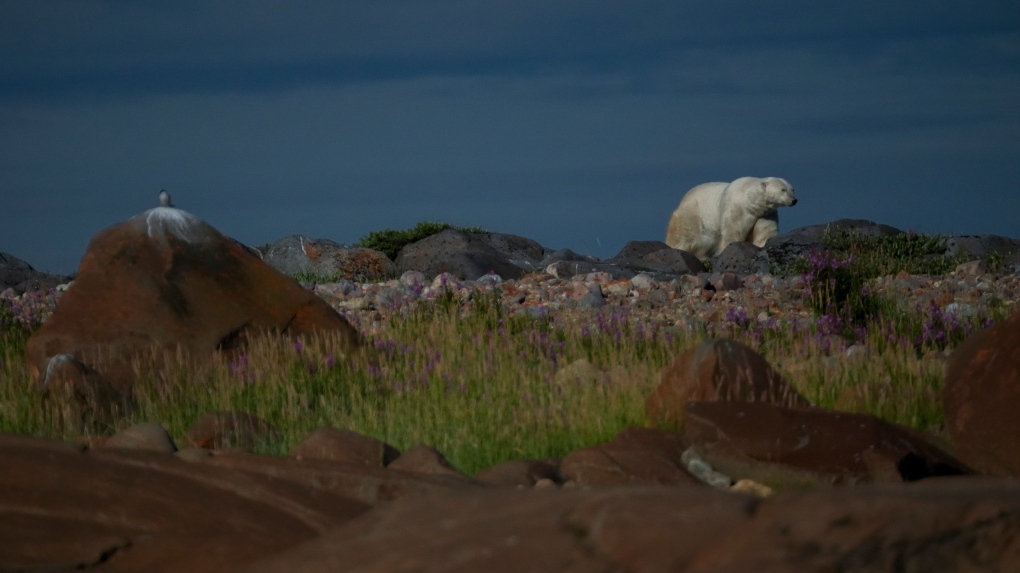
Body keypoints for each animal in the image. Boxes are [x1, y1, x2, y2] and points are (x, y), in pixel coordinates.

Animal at [665, 176, 799, 261]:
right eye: (783, 190)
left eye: (792, 189)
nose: (794, 200)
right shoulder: (737, 209)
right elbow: (733, 231)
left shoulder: (764, 214)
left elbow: (765, 232)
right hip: (692, 217)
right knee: (684, 237)